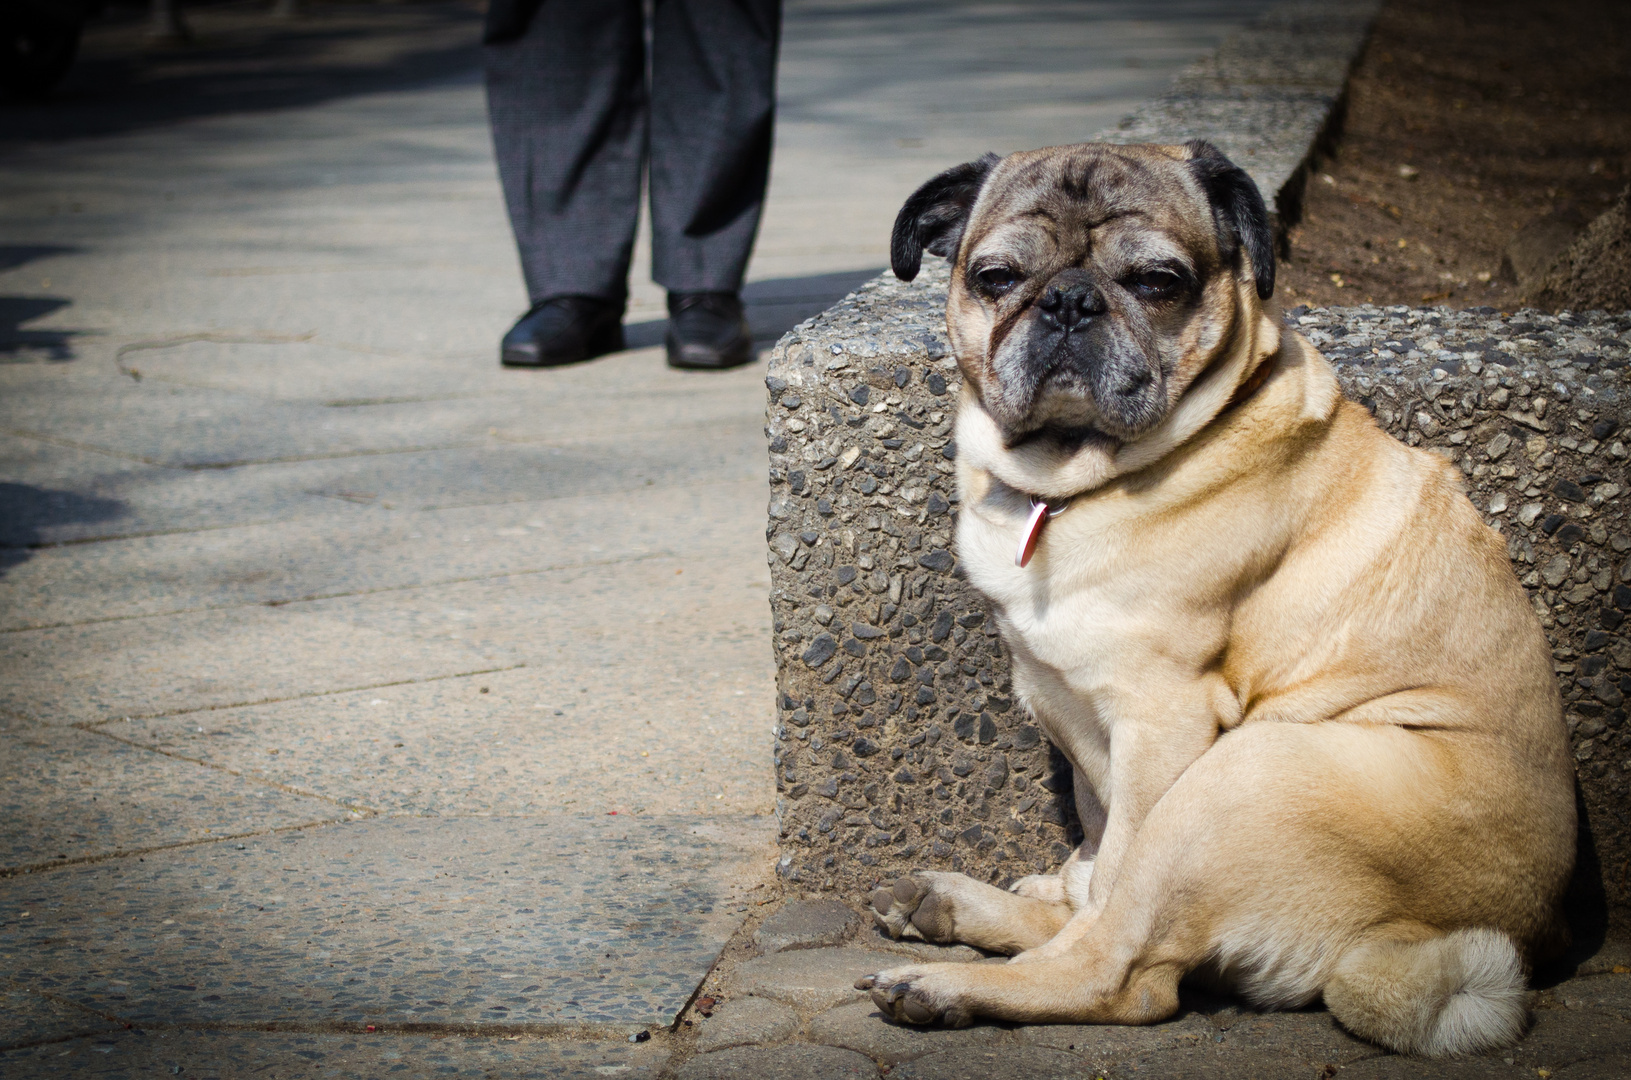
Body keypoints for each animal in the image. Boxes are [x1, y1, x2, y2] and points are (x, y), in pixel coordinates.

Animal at [854, 139, 1578, 1063]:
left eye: (1157, 282)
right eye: (996, 277)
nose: (1068, 300)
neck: (1065, 485)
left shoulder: (1159, 715)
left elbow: (1116, 879)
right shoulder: (1071, 710)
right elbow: (1098, 852)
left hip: (1243, 775)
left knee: (1120, 970)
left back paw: (949, 984)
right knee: (1099, 911)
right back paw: (952, 906)